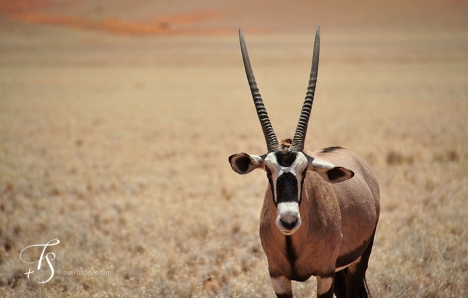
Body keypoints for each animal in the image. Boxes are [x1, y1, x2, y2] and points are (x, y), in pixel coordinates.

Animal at [228, 26, 380, 296]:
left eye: (305, 171)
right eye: (268, 171)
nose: (288, 220)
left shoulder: (324, 275)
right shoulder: (278, 277)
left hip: (358, 260)